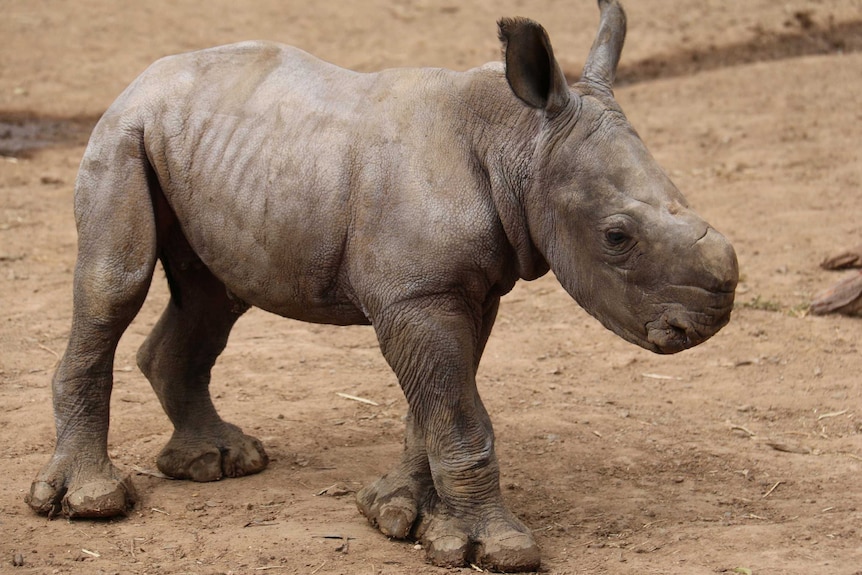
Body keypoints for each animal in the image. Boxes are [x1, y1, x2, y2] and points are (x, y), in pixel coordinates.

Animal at [30, 0, 740, 572]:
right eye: (617, 237)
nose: (714, 314)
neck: (519, 139)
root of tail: (142, 78)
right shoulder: (418, 296)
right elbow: (458, 413)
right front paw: (495, 550)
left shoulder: (461, 290)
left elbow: (437, 404)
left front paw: (398, 517)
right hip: (122, 135)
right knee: (114, 285)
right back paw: (91, 503)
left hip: (204, 149)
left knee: (215, 297)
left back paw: (219, 463)